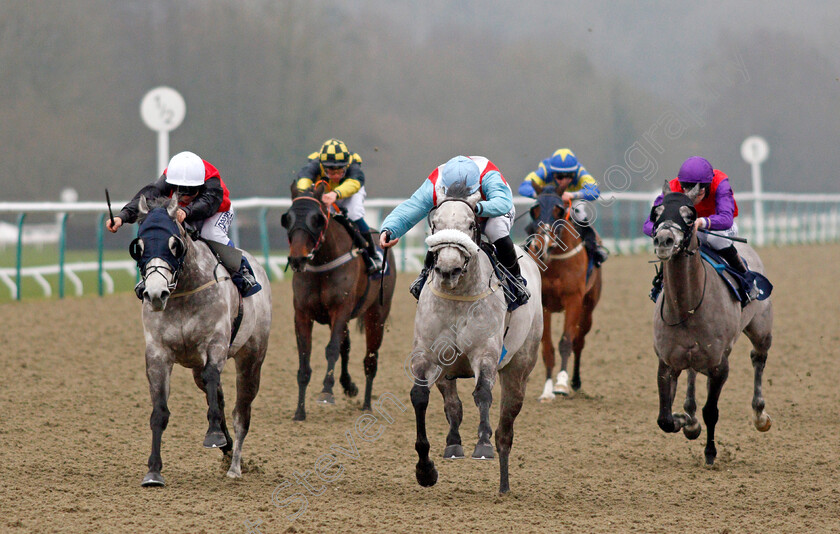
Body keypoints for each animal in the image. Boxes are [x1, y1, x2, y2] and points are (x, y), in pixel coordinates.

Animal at [130, 195, 272, 488]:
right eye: (140, 246)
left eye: (174, 244)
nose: (155, 293)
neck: (183, 292)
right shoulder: (158, 354)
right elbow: (160, 411)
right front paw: (153, 471)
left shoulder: (215, 343)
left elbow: (214, 379)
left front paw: (215, 435)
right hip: (195, 365)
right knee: (216, 393)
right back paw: (227, 448)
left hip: (252, 357)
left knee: (241, 411)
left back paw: (234, 465)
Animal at [282, 183, 398, 422]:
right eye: (287, 218)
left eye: (317, 219)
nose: (297, 259)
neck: (321, 263)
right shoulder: (302, 314)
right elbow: (305, 357)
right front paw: (299, 411)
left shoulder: (341, 309)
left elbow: (332, 349)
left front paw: (327, 391)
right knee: (347, 346)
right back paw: (349, 386)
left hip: (377, 314)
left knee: (370, 359)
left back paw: (366, 404)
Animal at [408, 182, 544, 496]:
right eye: (435, 224)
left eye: (471, 224)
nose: (448, 269)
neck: (458, 296)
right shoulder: (427, 354)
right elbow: (420, 396)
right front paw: (425, 469)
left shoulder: (486, 352)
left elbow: (482, 393)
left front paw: (482, 445)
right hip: (446, 370)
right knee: (453, 406)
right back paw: (453, 445)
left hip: (520, 368)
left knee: (506, 430)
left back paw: (504, 485)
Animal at [520, 191, 600, 400]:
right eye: (535, 210)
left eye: (559, 210)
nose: (541, 246)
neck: (554, 262)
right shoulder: (544, 304)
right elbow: (547, 347)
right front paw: (547, 390)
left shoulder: (573, 299)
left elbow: (566, 342)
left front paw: (561, 384)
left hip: (588, 309)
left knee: (579, 342)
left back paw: (576, 381)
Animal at [648, 182, 776, 466]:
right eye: (656, 212)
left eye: (690, 215)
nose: (664, 240)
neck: (686, 308)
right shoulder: (666, 363)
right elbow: (664, 419)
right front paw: (685, 421)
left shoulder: (720, 365)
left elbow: (712, 411)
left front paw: (710, 452)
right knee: (693, 374)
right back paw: (689, 414)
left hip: (761, 329)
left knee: (759, 358)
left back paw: (760, 415)